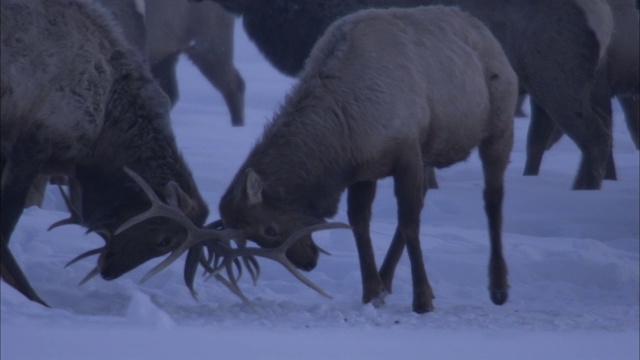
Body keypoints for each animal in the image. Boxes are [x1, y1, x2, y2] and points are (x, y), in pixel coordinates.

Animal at [218, 5, 516, 312]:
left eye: (269, 229)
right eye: (250, 235)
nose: (308, 263)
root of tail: (483, 29)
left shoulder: (407, 150)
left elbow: (409, 223)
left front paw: (422, 299)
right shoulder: (365, 167)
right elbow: (360, 223)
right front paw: (373, 292)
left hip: (500, 125)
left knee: (493, 197)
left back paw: (498, 286)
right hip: (430, 151)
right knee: (424, 198)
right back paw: (387, 278)